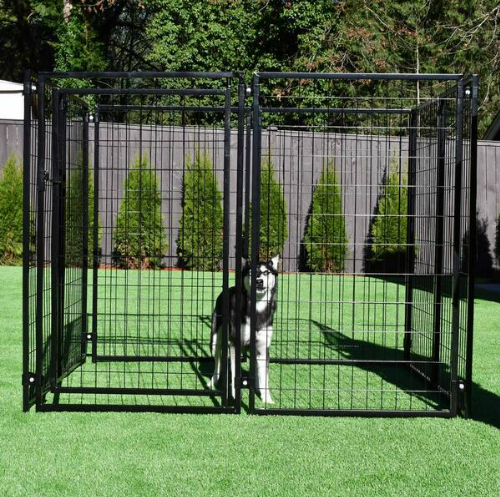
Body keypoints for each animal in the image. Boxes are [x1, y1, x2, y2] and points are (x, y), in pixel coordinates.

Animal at [207, 254, 280, 402]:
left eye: (266, 272)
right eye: (251, 273)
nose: (259, 282)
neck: (257, 309)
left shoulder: (263, 348)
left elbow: (264, 376)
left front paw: (266, 398)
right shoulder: (235, 343)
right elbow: (235, 372)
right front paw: (236, 395)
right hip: (215, 340)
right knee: (217, 362)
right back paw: (213, 382)